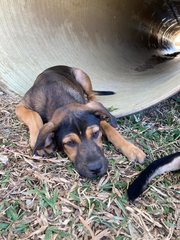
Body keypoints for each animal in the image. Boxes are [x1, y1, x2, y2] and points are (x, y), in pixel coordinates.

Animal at [15, 65, 145, 178]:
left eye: (95, 133)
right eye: (70, 143)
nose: (96, 169)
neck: (60, 100)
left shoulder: (91, 112)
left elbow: (109, 128)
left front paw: (131, 148)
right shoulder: (20, 106)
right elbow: (33, 115)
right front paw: (39, 140)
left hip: (82, 76)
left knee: (92, 96)